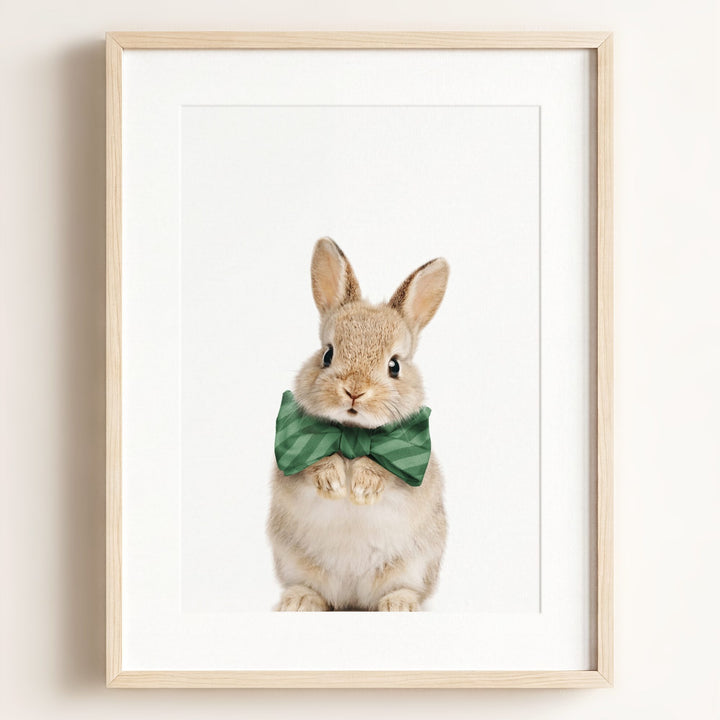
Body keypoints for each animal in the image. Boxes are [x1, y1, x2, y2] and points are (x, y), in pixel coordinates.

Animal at [267, 237, 449, 611]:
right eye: (327, 354)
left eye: (394, 366)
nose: (354, 390)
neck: (352, 434)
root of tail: (352, 598)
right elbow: (314, 463)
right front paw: (334, 483)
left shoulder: (412, 467)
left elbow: (386, 472)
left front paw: (363, 488)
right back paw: (298, 601)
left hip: (414, 565)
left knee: (403, 589)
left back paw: (400, 605)